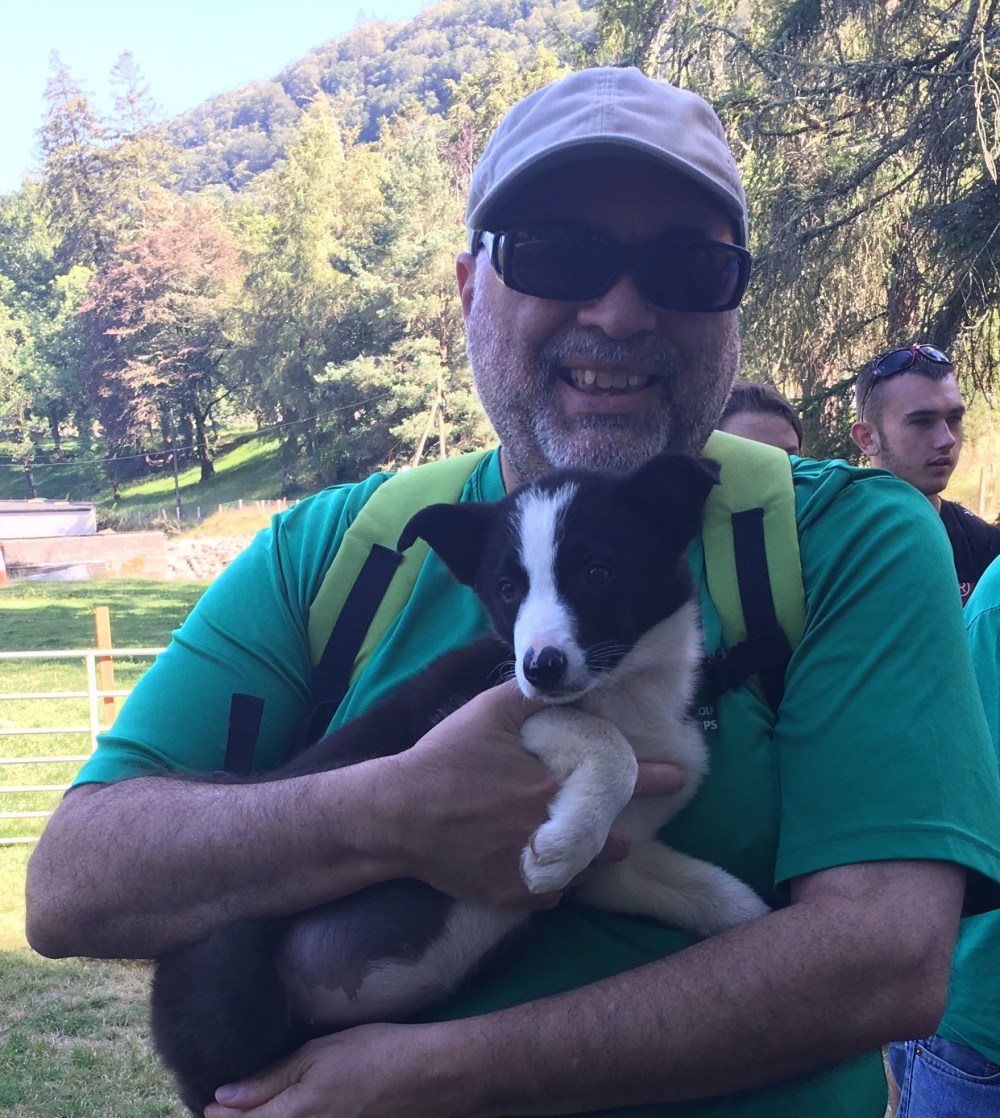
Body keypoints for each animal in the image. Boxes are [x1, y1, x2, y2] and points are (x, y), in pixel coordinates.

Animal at [150, 452, 769, 1114]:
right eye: (507, 590)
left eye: (597, 572)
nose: (540, 667)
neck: (629, 694)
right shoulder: (463, 716)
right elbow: (609, 747)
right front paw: (560, 846)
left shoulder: (619, 866)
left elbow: (723, 895)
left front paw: (758, 925)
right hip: (230, 989)